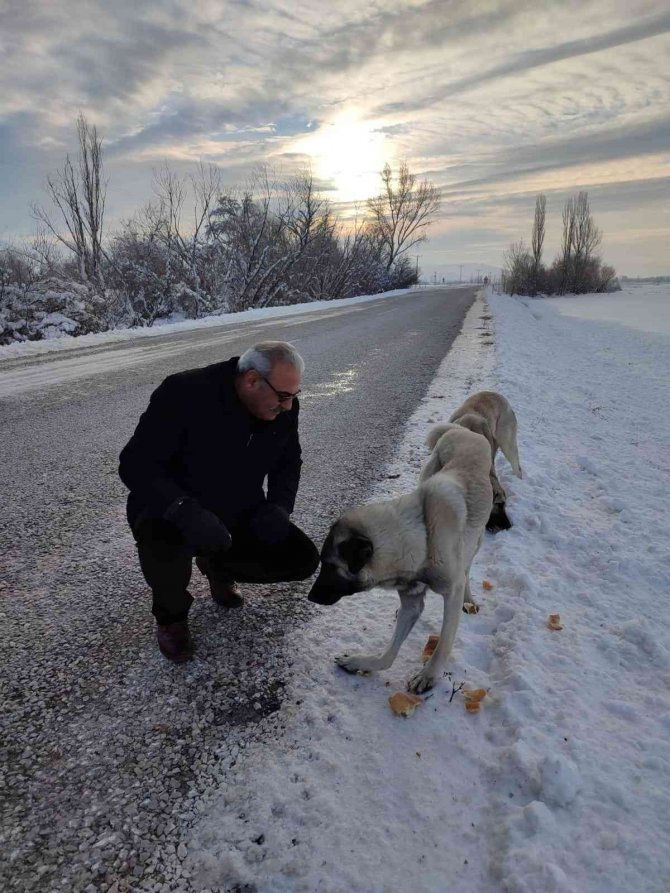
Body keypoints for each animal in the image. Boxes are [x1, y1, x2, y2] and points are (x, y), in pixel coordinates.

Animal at [310, 424, 494, 688]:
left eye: (329, 566)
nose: (310, 597)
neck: (422, 536)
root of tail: (464, 430)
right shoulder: (411, 604)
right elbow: (390, 652)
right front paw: (362, 662)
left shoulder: (451, 592)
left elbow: (443, 644)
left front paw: (428, 675)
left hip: (475, 541)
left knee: (467, 570)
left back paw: (468, 599)